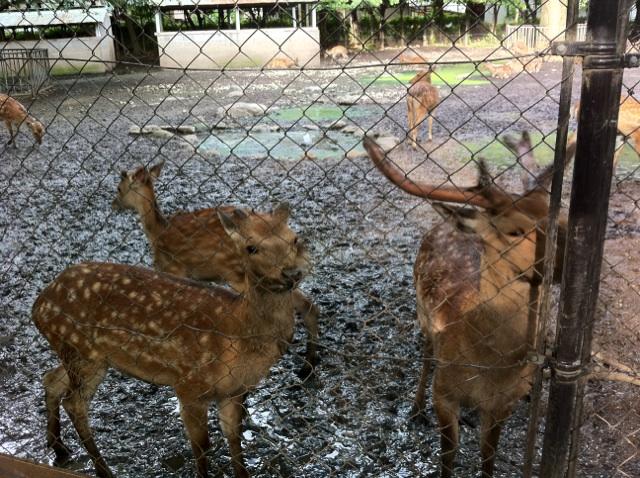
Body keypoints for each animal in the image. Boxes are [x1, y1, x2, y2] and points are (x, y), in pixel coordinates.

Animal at [31, 203, 308, 478]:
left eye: (294, 238)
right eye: (251, 247)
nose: (292, 273)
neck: (238, 332)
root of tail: (38, 306)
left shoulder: (234, 391)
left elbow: (234, 438)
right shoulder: (189, 384)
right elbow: (202, 446)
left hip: (81, 354)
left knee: (51, 379)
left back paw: (59, 448)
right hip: (83, 352)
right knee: (75, 403)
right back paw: (103, 470)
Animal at [362, 134, 572, 478]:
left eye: (561, 214)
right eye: (514, 230)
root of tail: (447, 224)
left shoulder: (503, 404)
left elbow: (488, 456)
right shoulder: (444, 393)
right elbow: (448, 455)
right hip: (422, 313)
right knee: (426, 355)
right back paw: (415, 409)